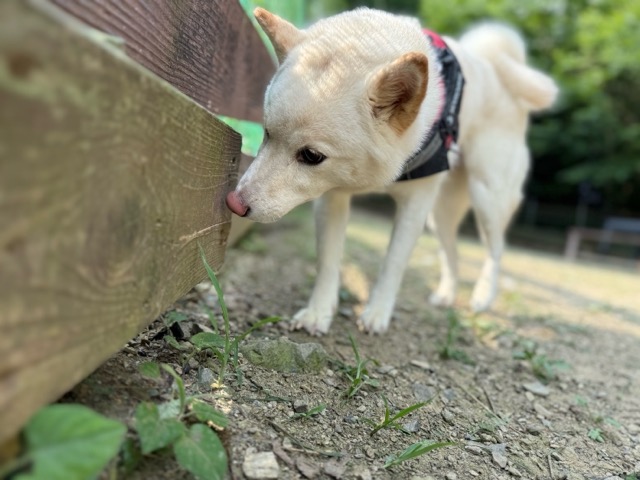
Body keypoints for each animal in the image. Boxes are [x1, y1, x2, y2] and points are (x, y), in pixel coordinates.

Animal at [226, 7, 558, 334]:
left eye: (311, 155)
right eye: (267, 133)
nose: (234, 203)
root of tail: (498, 72)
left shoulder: (415, 204)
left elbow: (394, 263)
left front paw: (377, 313)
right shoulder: (332, 197)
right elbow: (328, 260)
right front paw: (318, 313)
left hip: (486, 197)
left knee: (495, 250)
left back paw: (483, 296)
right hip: (440, 214)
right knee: (451, 252)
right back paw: (446, 295)